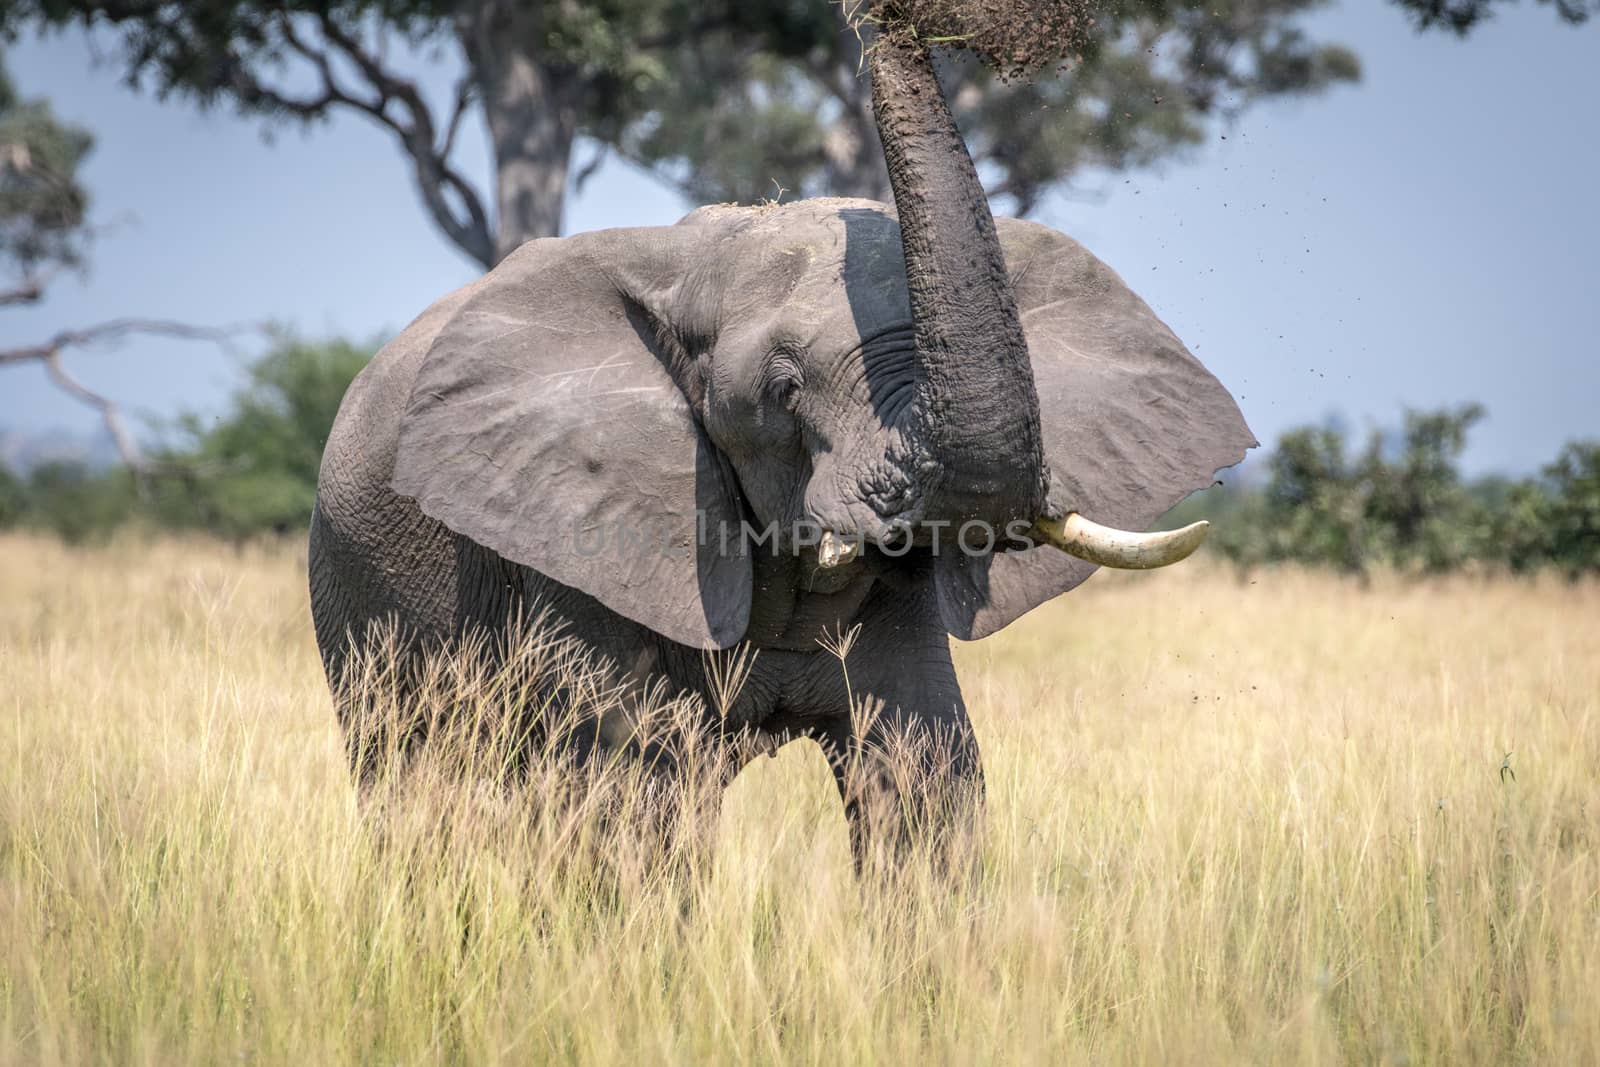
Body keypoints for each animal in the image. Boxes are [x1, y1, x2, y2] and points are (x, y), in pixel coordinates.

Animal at [305, 27, 1254, 857]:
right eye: (785, 390)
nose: (890, 26)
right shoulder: (575, 548)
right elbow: (634, 793)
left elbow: (926, 779)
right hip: (356, 589)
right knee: (423, 782)